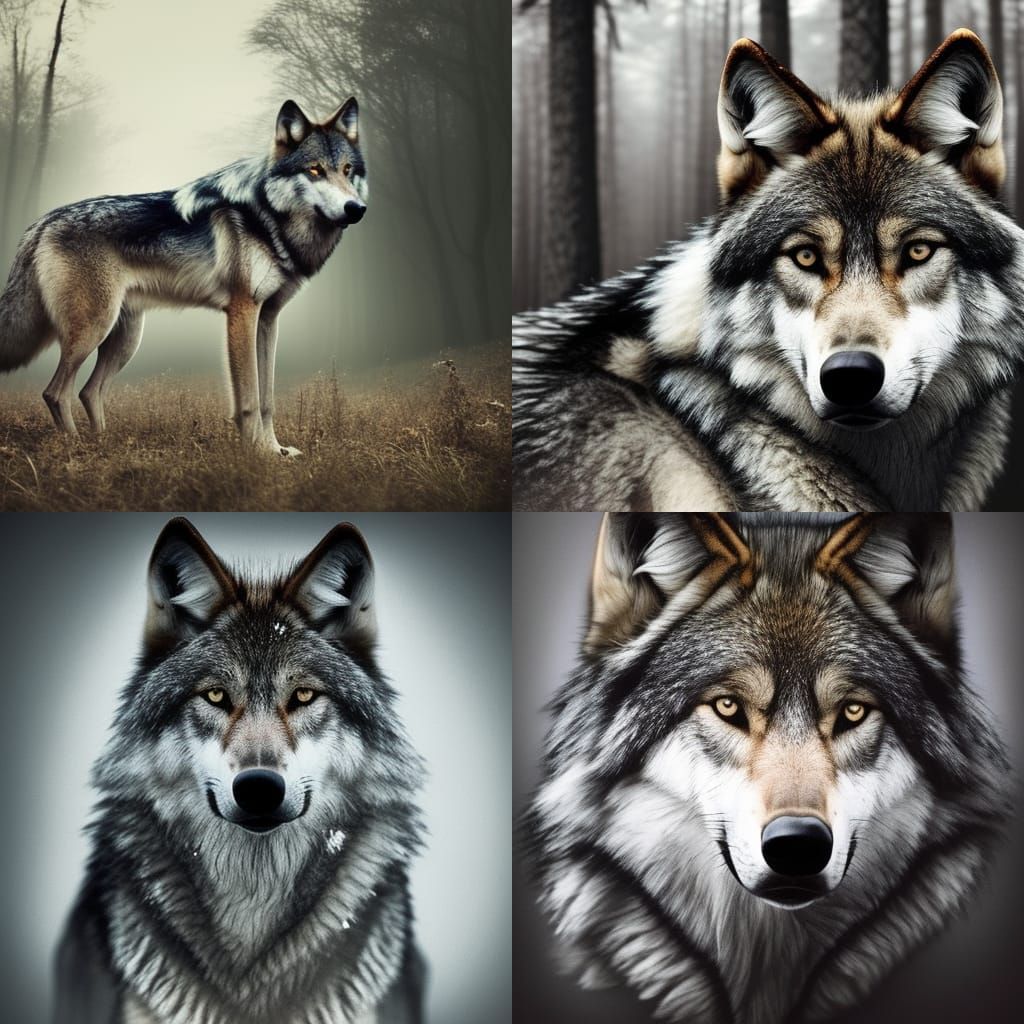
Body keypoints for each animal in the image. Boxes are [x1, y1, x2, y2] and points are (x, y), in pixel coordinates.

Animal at [0, 99, 368, 457]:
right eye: (315, 170)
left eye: (347, 170)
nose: (356, 208)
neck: (269, 220)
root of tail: (41, 223)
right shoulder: (242, 313)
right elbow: (249, 399)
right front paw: (258, 455)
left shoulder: (268, 319)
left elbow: (267, 400)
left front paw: (276, 450)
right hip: (93, 329)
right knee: (56, 393)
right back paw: (76, 446)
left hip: (126, 339)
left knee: (89, 391)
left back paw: (103, 444)